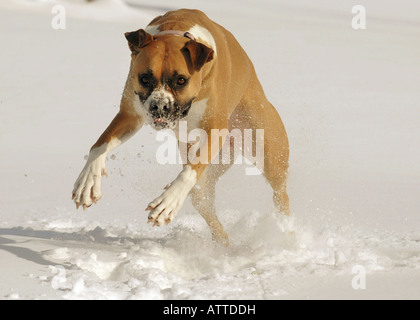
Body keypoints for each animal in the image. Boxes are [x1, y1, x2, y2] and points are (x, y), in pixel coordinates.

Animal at [72, 9, 288, 245]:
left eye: (181, 80)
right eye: (144, 78)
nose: (159, 105)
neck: (176, 30)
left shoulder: (215, 128)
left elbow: (189, 171)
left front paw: (168, 202)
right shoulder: (129, 115)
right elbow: (100, 144)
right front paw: (87, 182)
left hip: (268, 151)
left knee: (280, 194)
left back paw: (285, 230)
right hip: (206, 180)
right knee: (205, 204)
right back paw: (224, 244)